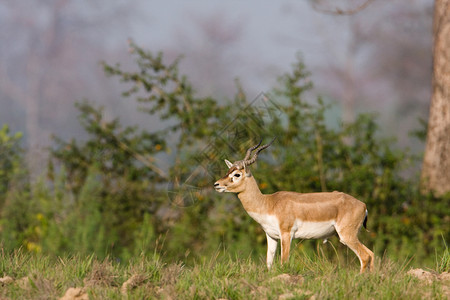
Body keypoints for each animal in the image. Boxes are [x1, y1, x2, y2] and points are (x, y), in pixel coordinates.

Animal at [213, 139, 374, 274]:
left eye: (237, 174)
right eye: (228, 171)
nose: (216, 184)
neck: (268, 203)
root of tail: (363, 205)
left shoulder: (286, 234)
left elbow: (284, 262)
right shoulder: (271, 236)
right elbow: (269, 263)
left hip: (347, 236)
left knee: (365, 256)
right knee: (371, 254)